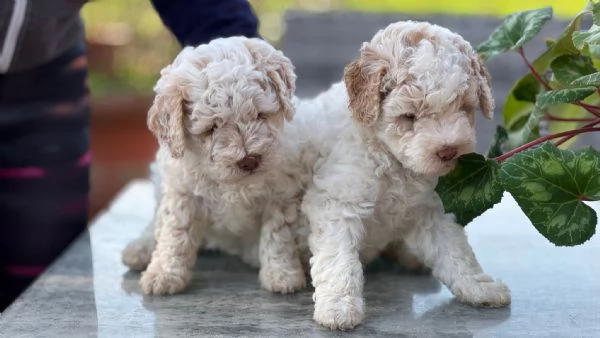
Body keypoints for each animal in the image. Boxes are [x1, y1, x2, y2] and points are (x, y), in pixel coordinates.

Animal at [123, 36, 308, 296]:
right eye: (212, 128)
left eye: (260, 115)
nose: (249, 160)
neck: (233, 184)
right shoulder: (182, 191)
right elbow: (175, 232)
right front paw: (163, 274)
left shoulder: (282, 192)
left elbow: (277, 234)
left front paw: (282, 274)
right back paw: (140, 249)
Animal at [290, 20, 510, 328]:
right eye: (408, 116)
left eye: (464, 108)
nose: (448, 151)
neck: (393, 162)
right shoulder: (336, 204)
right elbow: (339, 260)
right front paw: (339, 307)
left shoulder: (432, 209)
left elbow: (456, 251)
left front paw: (479, 287)